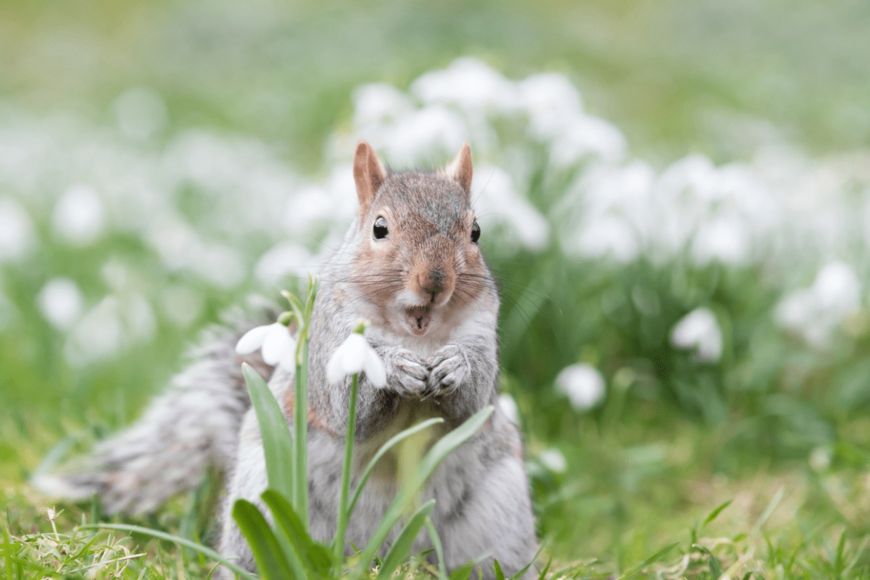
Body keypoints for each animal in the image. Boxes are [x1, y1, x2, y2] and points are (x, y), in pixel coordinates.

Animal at [34, 142, 540, 580]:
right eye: (379, 228)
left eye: (475, 231)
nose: (435, 280)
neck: (416, 332)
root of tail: (377, 551)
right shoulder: (329, 347)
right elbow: (346, 407)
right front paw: (395, 367)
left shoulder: (482, 334)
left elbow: (471, 405)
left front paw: (455, 367)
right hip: (263, 501)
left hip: (499, 515)